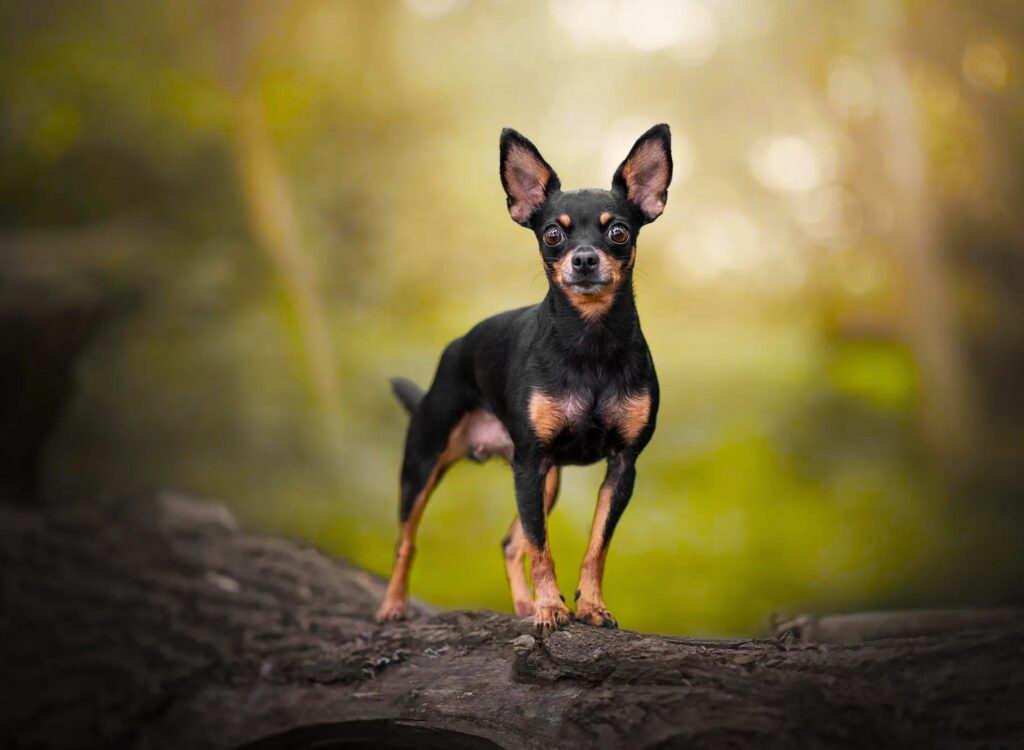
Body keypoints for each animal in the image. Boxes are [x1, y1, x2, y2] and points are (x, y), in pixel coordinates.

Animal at [376, 122, 671, 631]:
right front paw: (551, 607)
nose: (585, 259)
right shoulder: (530, 462)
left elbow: (595, 546)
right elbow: (542, 550)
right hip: (425, 464)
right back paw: (393, 605)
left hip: (545, 479)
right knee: (407, 540)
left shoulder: (620, 466)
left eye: (619, 231)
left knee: (511, 542)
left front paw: (590, 605)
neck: (589, 344)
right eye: (553, 234)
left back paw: (521, 605)